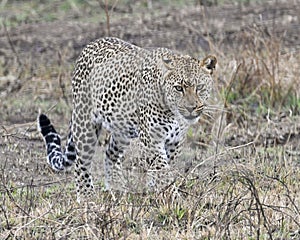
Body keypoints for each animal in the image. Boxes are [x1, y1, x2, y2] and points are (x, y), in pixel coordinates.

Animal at [37, 37, 217, 202]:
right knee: (81, 163)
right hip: (85, 123)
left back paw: (117, 189)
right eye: (179, 88)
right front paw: (172, 197)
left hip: (121, 130)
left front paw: (156, 191)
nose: (191, 108)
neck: (174, 113)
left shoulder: (175, 141)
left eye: (200, 87)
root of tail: (91, 44)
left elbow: (166, 167)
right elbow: (162, 170)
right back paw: (87, 197)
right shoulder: (151, 139)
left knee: (110, 154)